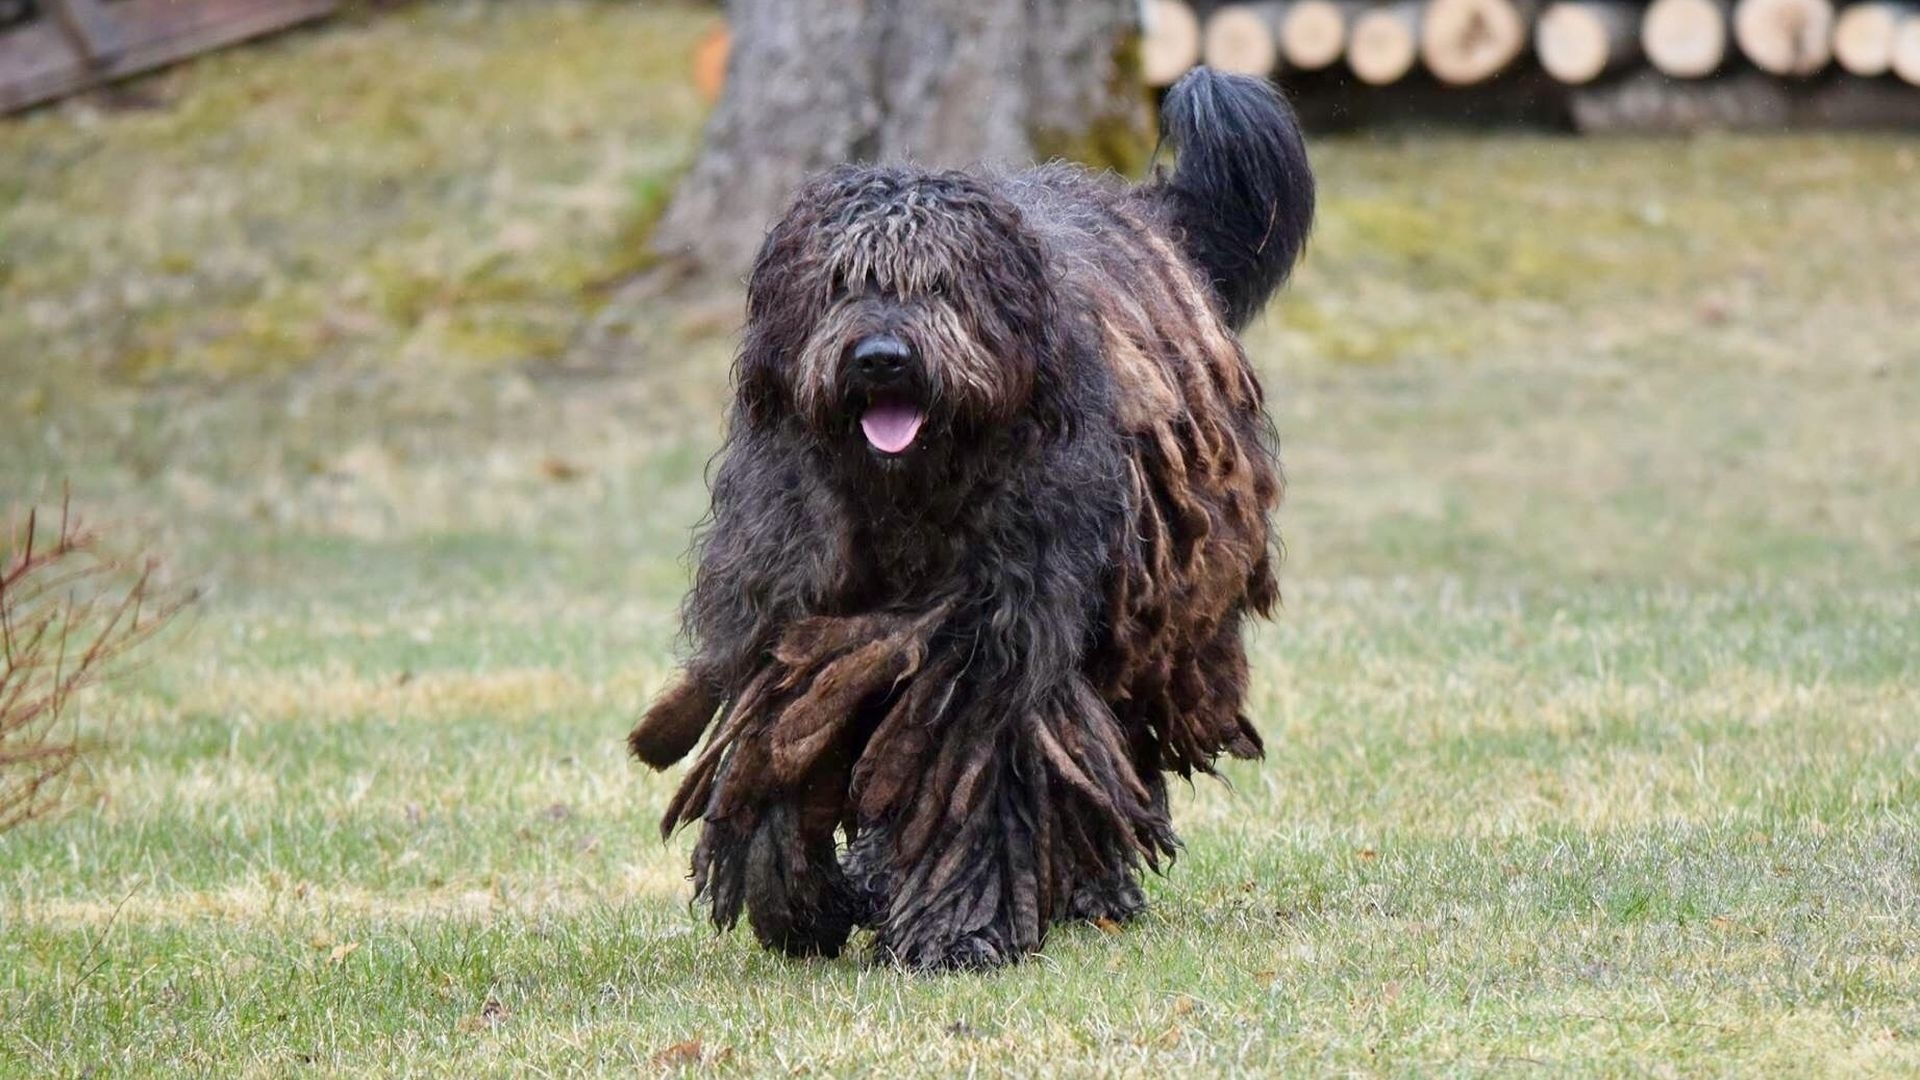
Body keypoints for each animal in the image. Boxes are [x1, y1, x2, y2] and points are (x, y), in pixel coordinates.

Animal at [637, 71, 1313, 972]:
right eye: (840, 283)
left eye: (941, 285)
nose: (881, 358)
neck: (905, 496)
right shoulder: (793, 617)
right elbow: (783, 749)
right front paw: (804, 904)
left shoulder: (989, 645)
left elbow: (976, 780)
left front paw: (954, 931)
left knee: (1107, 747)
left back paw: (1094, 889)